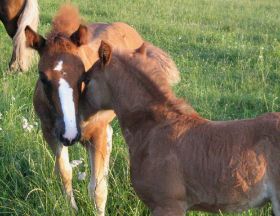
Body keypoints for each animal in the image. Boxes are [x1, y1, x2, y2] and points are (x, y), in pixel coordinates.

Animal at [23, 5, 178, 216]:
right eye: (42, 77)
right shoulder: (50, 133)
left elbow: (97, 189)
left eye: (82, 74)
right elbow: (65, 173)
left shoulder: (96, 133)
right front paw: (72, 208)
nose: (70, 135)